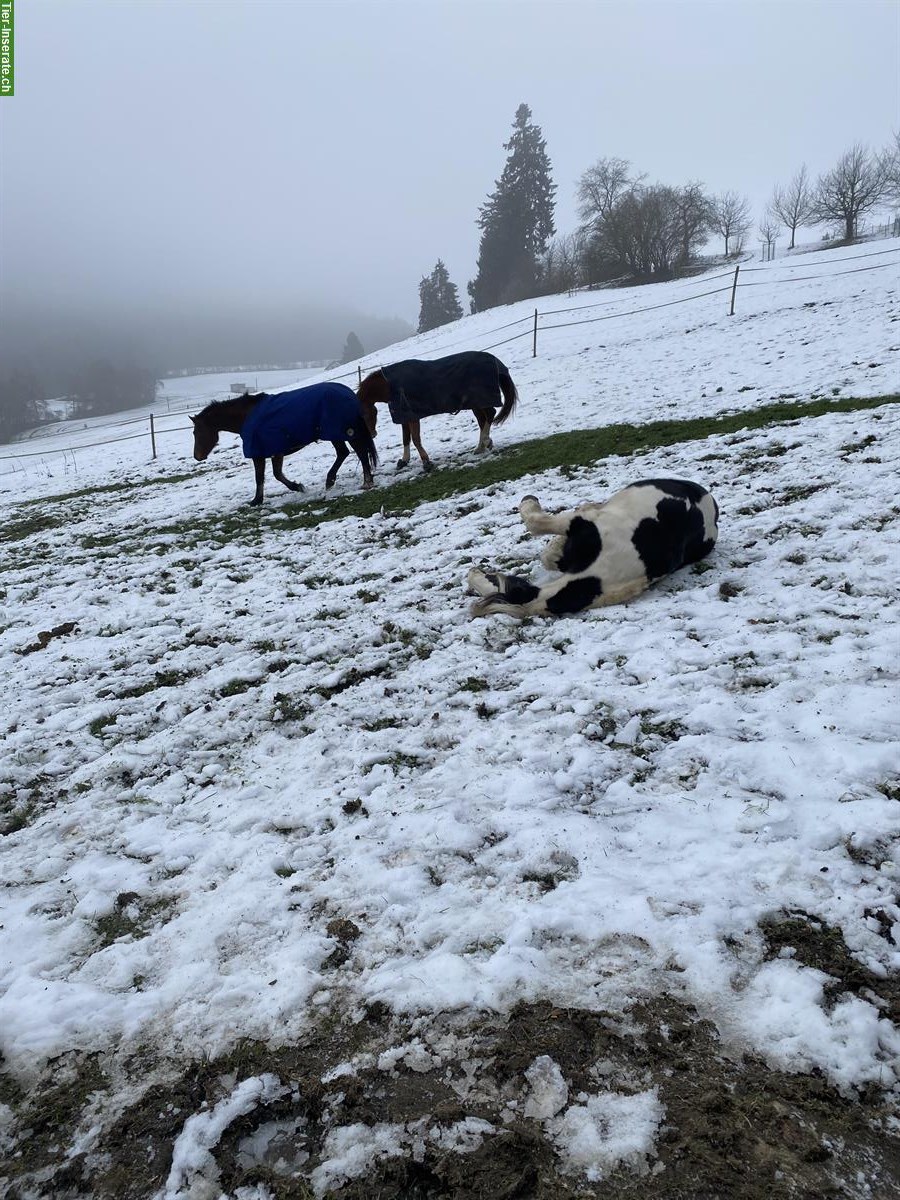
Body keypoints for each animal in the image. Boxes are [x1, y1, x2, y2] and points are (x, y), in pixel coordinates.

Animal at [192, 384, 379, 506]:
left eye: (196, 432)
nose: (197, 456)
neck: (248, 417)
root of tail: (349, 393)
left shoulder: (265, 452)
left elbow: (266, 476)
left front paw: (259, 500)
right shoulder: (271, 452)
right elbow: (270, 475)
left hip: (345, 431)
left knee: (359, 453)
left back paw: (365, 482)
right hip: (337, 433)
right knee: (345, 453)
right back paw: (332, 480)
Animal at [355, 350, 518, 470]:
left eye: (366, 414)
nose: (372, 434)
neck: (391, 386)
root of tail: (492, 359)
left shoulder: (412, 417)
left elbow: (415, 439)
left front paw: (426, 462)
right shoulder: (404, 417)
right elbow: (406, 439)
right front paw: (404, 460)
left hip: (480, 400)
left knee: (490, 414)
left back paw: (486, 441)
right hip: (475, 403)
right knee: (483, 420)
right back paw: (480, 447)